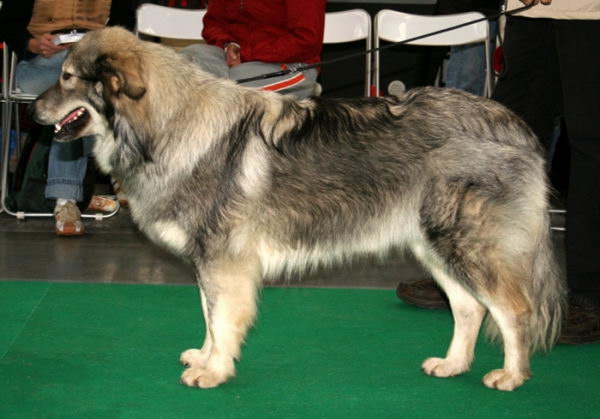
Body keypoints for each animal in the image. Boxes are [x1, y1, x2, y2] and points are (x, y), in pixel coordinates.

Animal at [31, 27, 568, 392]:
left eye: (68, 78)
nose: (32, 110)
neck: (167, 126)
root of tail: (509, 122)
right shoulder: (210, 262)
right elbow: (208, 316)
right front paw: (205, 357)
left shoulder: (224, 261)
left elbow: (222, 319)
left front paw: (215, 370)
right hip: (434, 247)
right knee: (470, 307)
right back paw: (452, 365)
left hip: (466, 246)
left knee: (513, 309)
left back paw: (511, 375)